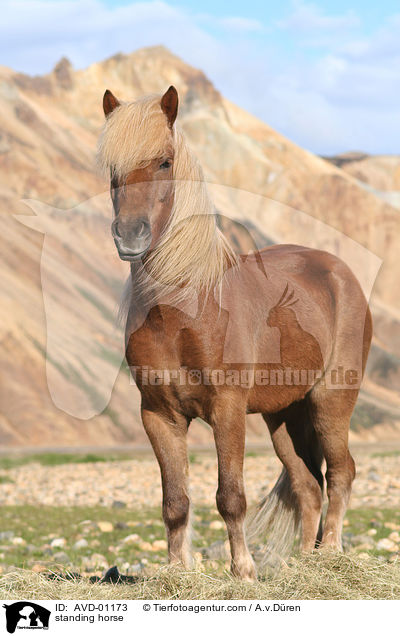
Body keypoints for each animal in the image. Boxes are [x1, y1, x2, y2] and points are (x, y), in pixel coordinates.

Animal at [97, 85, 372, 580]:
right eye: (112, 168)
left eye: (164, 161)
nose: (129, 235)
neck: (183, 311)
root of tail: (340, 274)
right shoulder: (159, 416)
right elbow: (175, 502)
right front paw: (178, 572)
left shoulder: (226, 410)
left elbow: (230, 497)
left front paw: (243, 571)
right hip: (284, 417)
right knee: (308, 486)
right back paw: (304, 565)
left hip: (331, 403)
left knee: (341, 475)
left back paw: (330, 557)